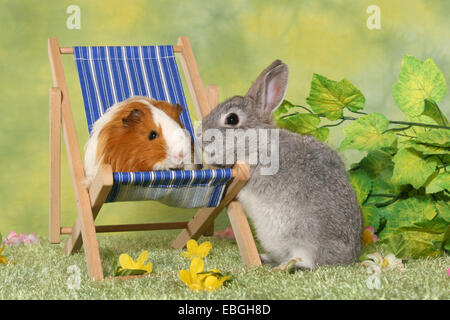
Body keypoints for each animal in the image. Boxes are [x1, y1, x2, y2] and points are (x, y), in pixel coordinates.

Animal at [199, 60, 364, 270]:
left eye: (232, 119)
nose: (199, 134)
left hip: (304, 239)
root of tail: (350, 259)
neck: (257, 142)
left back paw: (283, 266)